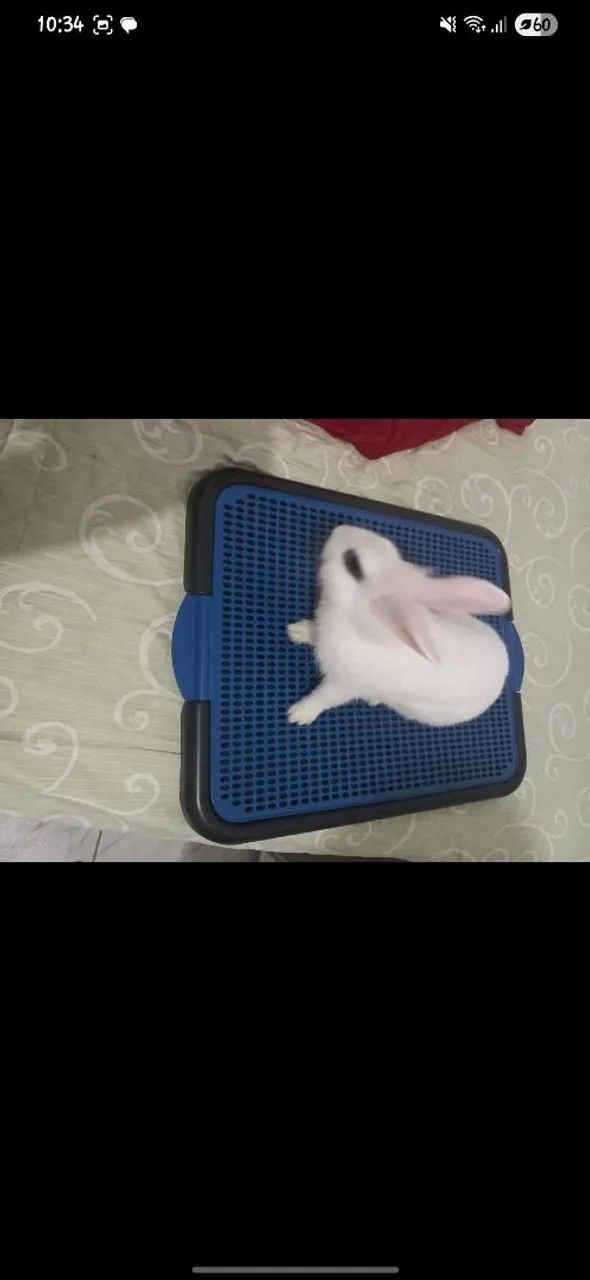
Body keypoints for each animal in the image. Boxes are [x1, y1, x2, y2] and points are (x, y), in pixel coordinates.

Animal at [287, 525, 512, 727]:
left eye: (354, 564)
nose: (338, 529)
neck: (357, 623)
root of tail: (504, 672)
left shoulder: (344, 685)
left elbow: (323, 698)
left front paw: (298, 714)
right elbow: (314, 633)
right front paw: (297, 631)